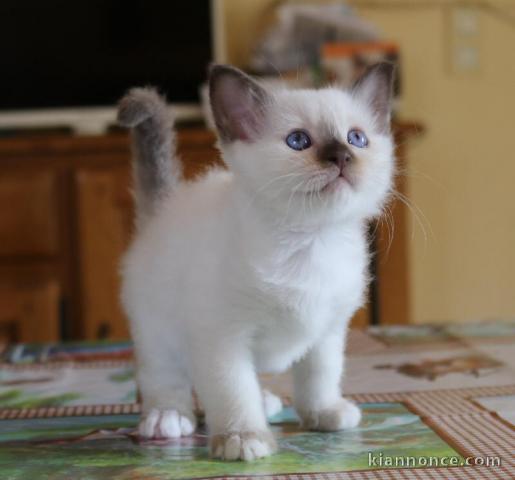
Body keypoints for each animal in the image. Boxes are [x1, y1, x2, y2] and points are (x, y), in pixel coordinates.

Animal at [119, 63, 398, 462]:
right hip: (158, 330)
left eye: (356, 138)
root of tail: (166, 207)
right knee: (165, 378)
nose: (342, 156)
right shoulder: (223, 337)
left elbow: (319, 377)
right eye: (298, 141)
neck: (310, 243)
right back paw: (167, 418)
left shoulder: (327, 331)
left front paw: (323, 413)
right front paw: (243, 437)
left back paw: (266, 402)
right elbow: (234, 391)